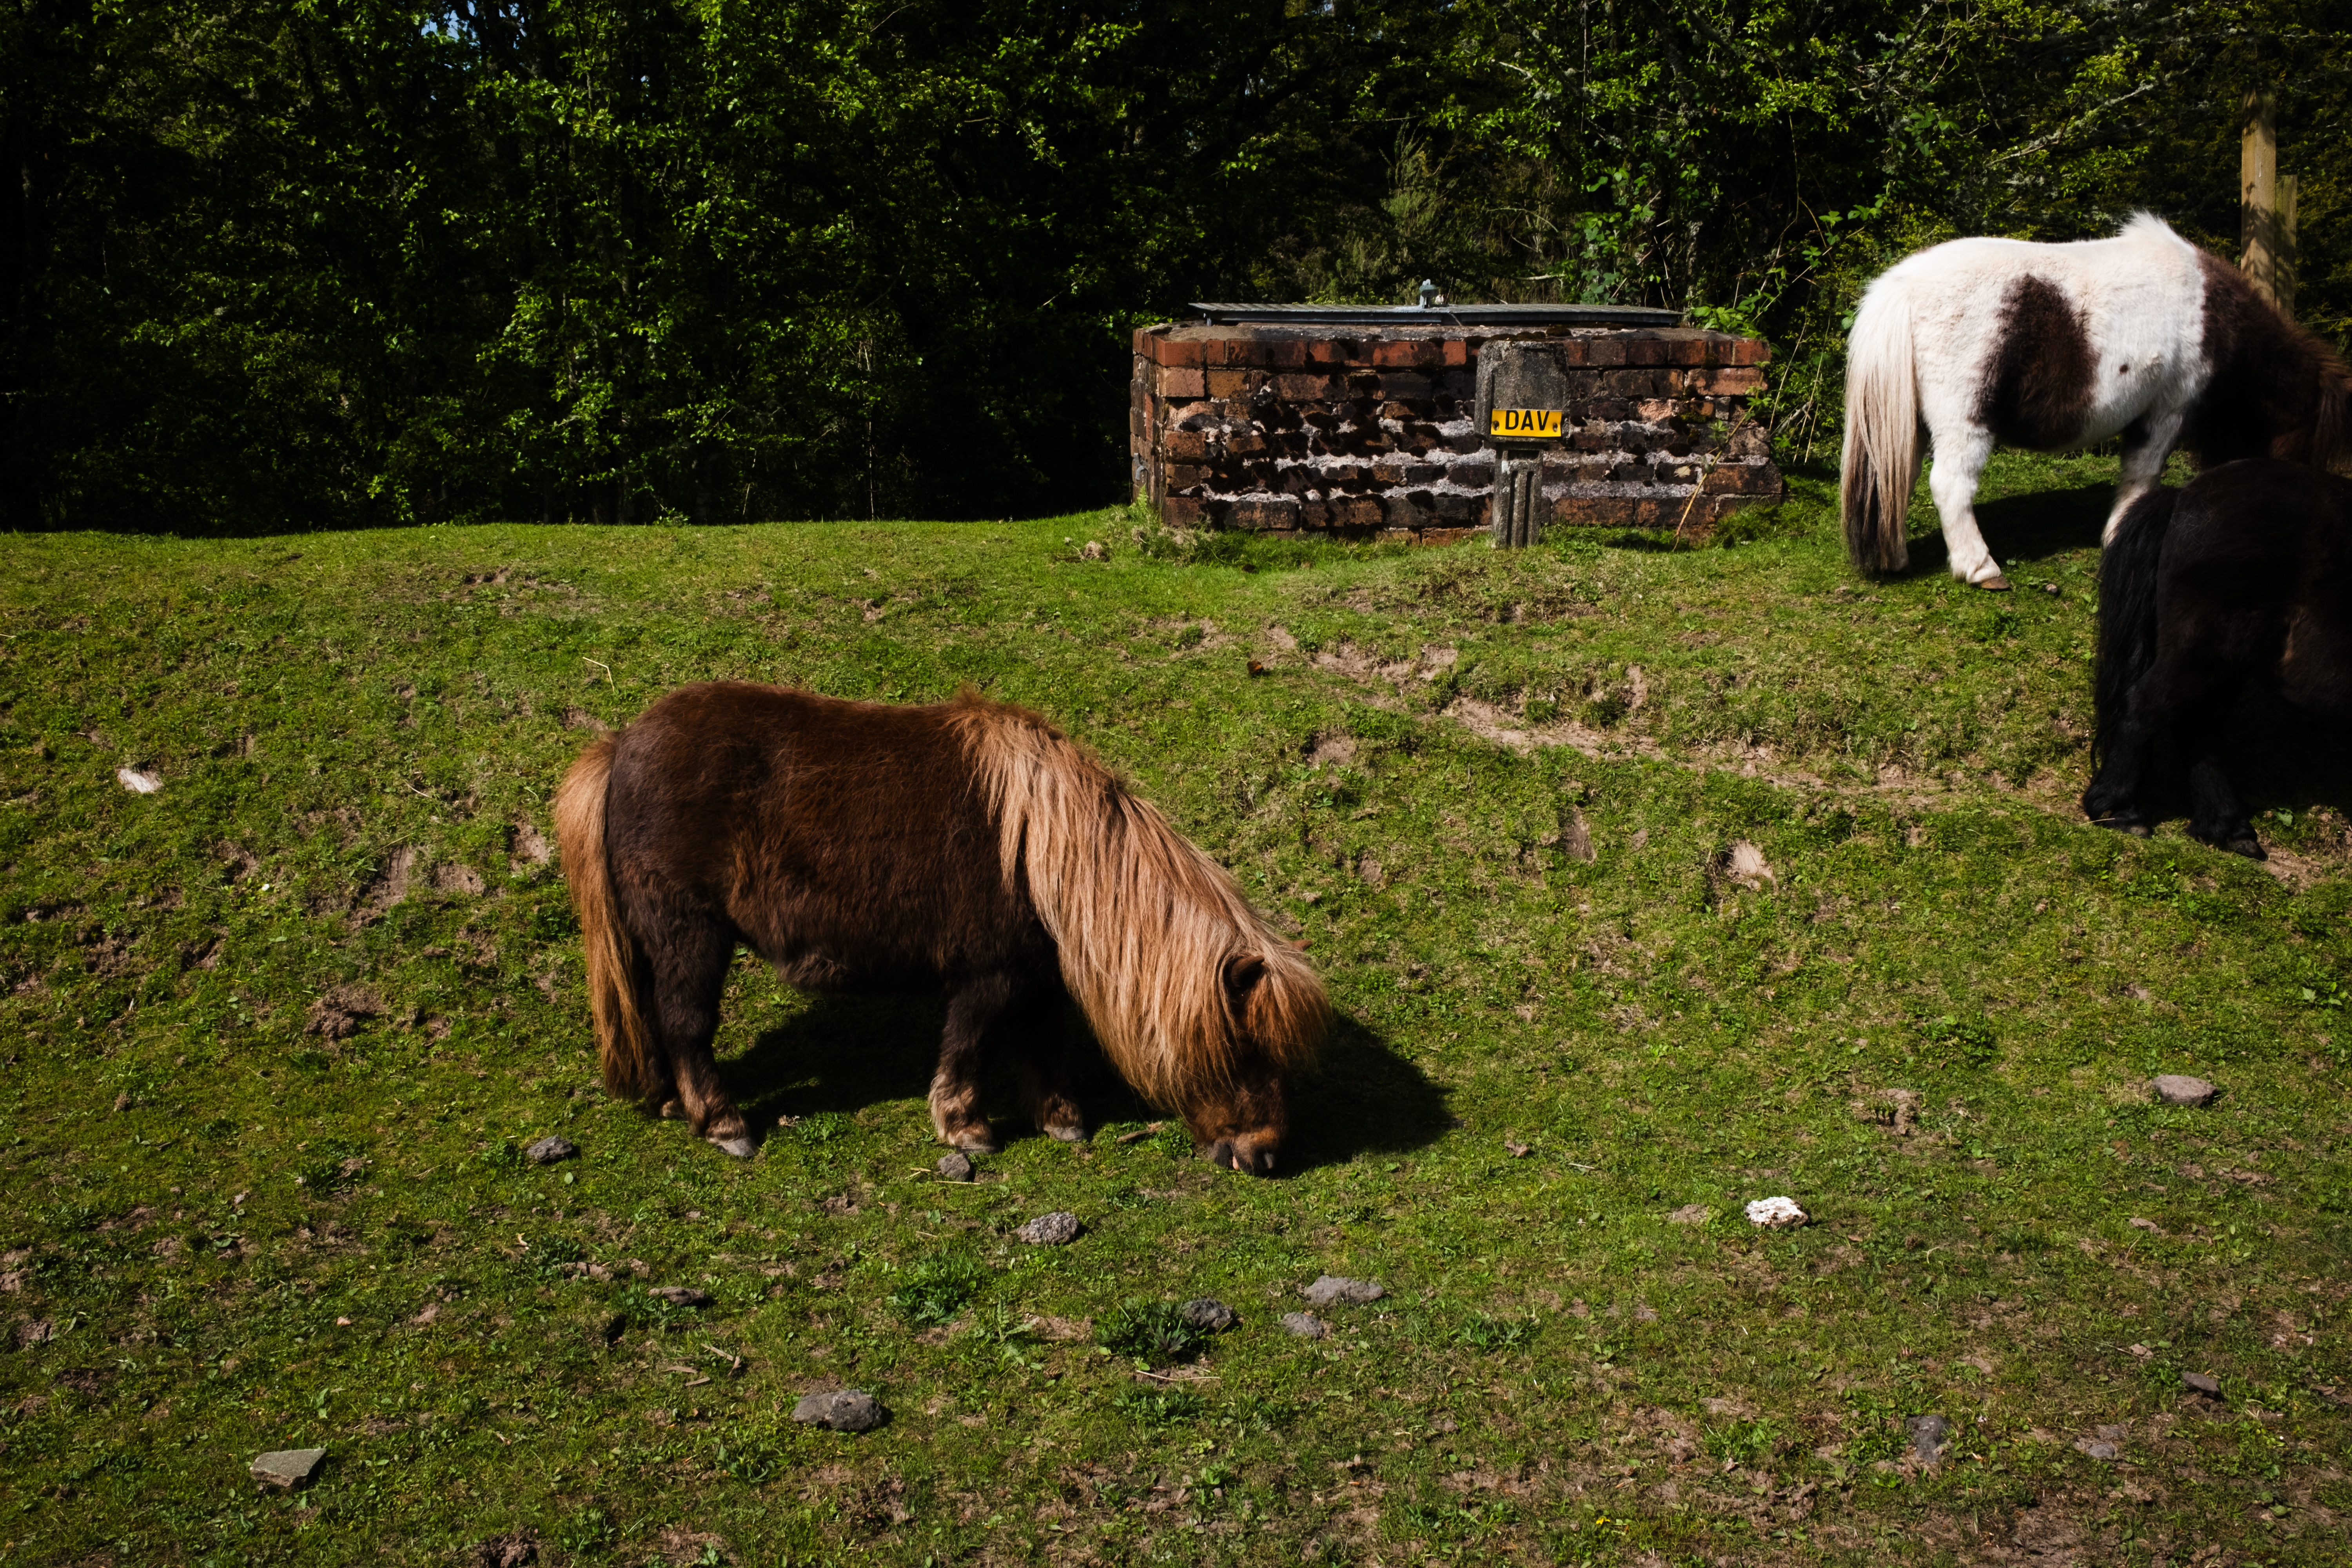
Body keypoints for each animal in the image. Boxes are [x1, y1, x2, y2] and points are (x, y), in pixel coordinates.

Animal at [553, 682, 1328, 1172]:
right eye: (1245, 1048)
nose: (1265, 1155)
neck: (1043, 847)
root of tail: (622, 745)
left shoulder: (1035, 976)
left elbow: (1042, 1044)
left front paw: (1062, 1118)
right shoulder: (988, 976)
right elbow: (971, 1048)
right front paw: (965, 1128)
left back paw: (665, 1101)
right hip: (691, 935)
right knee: (686, 1025)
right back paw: (723, 1123)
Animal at [1842, 214, 2350, 590]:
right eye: (2309, 450)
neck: (2215, 313)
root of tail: (1901, 285)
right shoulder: (2167, 410)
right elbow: (2143, 473)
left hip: (1911, 425)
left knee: (1896, 480)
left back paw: (1897, 557)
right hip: (1964, 422)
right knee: (1949, 486)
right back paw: (1982, 569)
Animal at [2082, 458, 2352, 858]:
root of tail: (2187, 495)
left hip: (2228, 664)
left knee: (2199, 730)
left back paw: (2226, 827)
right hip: (2207, 649)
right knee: (2149, 707)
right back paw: (2121, 808)